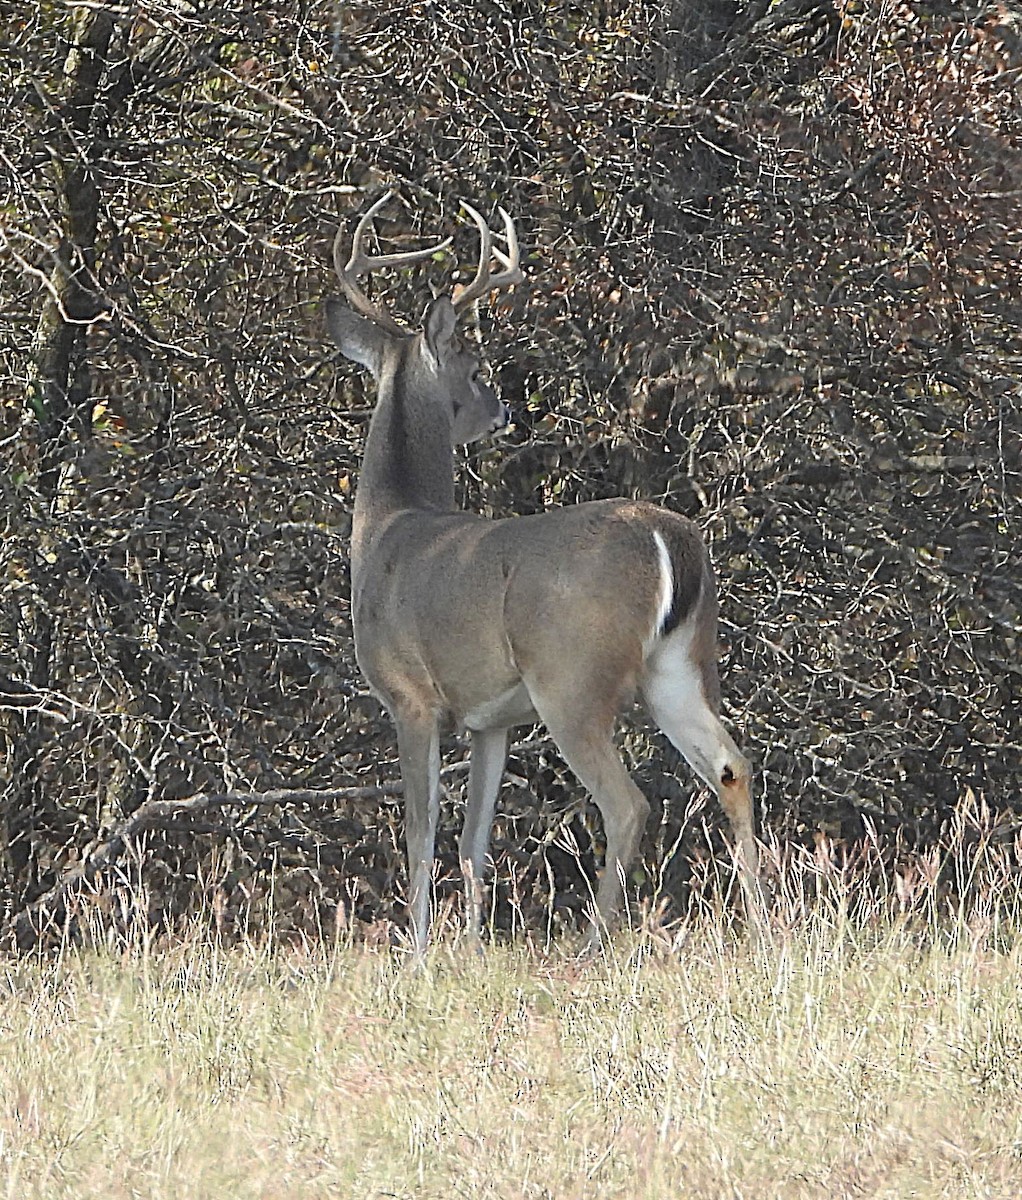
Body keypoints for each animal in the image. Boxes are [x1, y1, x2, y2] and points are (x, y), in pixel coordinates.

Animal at [325, 191, 764, 954]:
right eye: (477, 372)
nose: (502, 408)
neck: (388, 526)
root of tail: (669, 537)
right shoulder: (490, 719)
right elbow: (472, 840)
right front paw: (470, 946)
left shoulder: (411, 695)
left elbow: (420, 833)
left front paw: (419, 950)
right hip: (681, 663)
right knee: (731, 768)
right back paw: (774, 925)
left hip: (572, 676)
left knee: (628, 804)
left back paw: (596, 941)